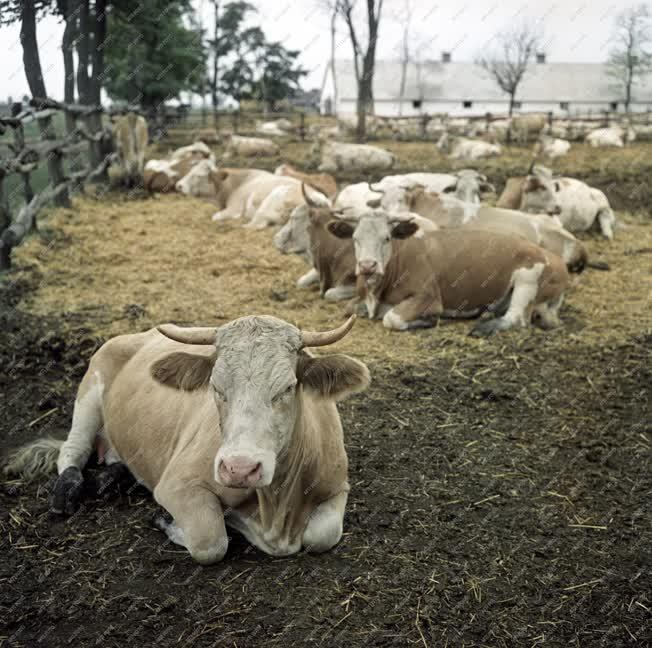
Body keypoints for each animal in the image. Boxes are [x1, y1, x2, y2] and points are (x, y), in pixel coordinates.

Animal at [3, 314, 372, 560]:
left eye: (287, 388)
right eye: (216, 388)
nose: (239, 468)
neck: (277, 505)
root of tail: (137, 334)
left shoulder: (338, 485)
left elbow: (322, 534)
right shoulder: (177, 485)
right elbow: (211, 541)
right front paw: (172, 520)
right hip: (91, 387)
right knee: (73, 449)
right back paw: (68, 489)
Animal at [328, 210, 568, 336]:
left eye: (386, 238)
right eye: (355, 238)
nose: (368, 265)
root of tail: (556, 260)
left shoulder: (429, 296)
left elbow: (392, 318)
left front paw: (427, 320)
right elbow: (349, 308)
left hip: (528, 278)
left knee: (517, 318)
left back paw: (484, 326)